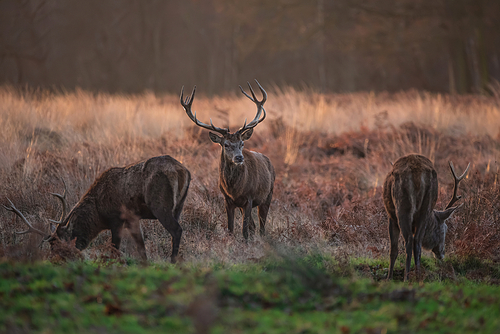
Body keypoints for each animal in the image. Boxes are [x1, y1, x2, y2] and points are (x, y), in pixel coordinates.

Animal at [3, 155, 191, 262]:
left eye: (57, 246)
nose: (53, 260)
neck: (98, 214)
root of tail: (182, 170)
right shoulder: (133, 218)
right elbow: (141, 246)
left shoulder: (117, 218)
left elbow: (115, 247)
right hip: (179, 206)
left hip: (160, 205)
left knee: (176, 230)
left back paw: (173, 262)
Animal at [180, 79, 276, 239]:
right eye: (226, 144)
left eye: (242, 143)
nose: (239, 157)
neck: (234, 189)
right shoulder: (227, 200)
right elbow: (231, 228)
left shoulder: (249, 198)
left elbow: (244, 231)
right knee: (254, 226)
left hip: (268, 195)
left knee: (262, 227)